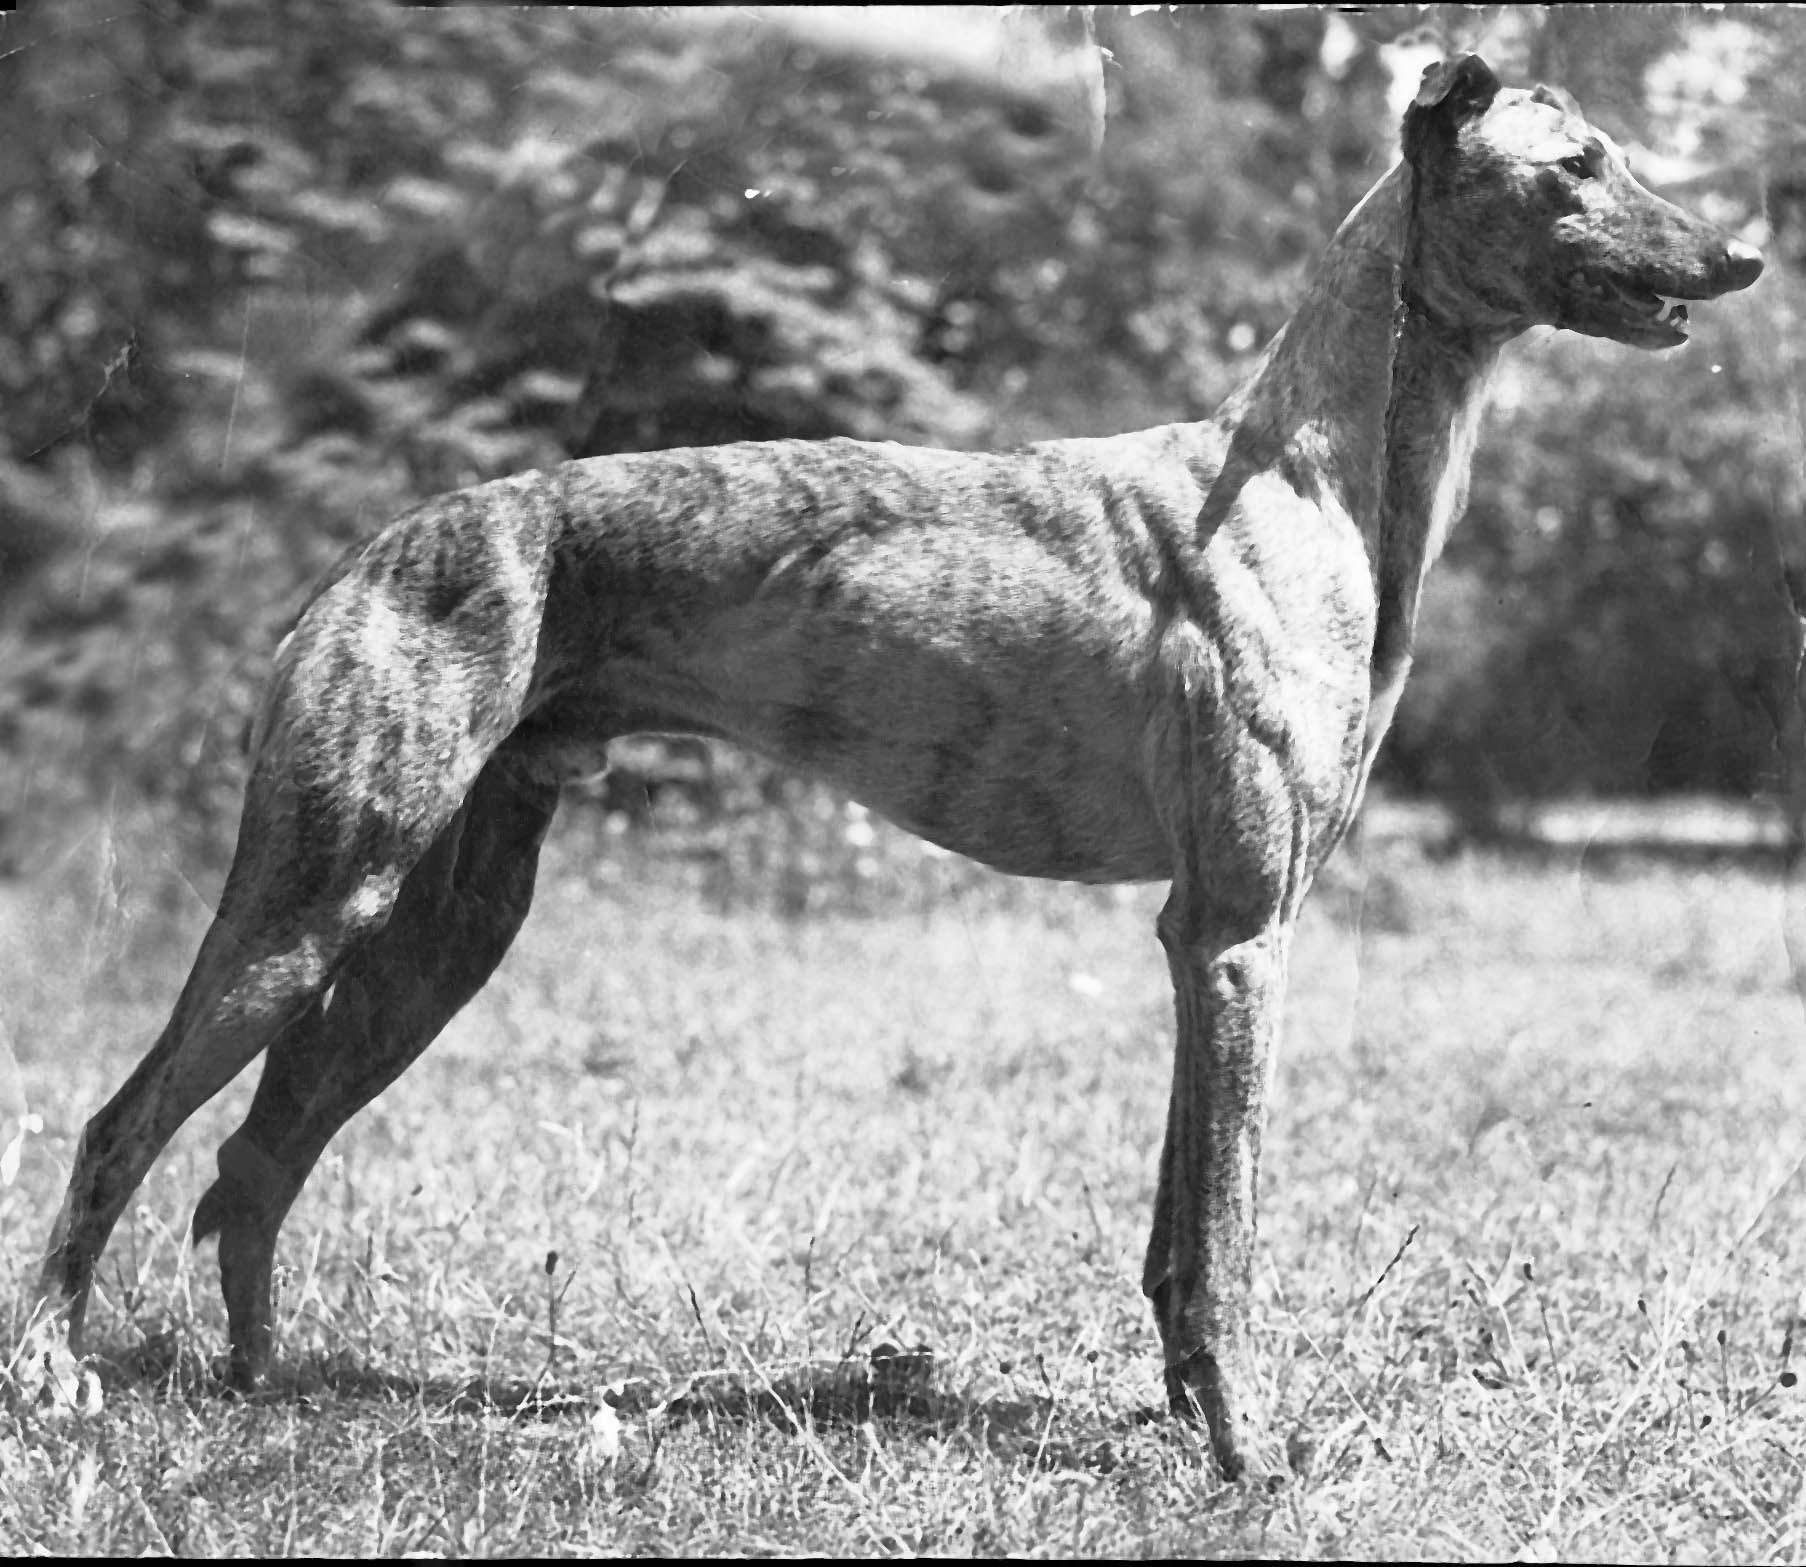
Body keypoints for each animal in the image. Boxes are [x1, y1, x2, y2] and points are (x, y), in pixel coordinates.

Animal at [38, 58, 1762, 1480]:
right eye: (1573, 165)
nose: (1740, 257)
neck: (1302, 477)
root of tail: (370, 552)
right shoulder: (1237, 934)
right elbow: (1224, 1235)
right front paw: (1243, 1452)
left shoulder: (1193, 937)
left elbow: (1169, 1233)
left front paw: (1177, 1416)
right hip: (312, 896)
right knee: (122, 1124)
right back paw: (55, 1375)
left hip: (435, 932)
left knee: (256, 1152)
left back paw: (260, 1385)